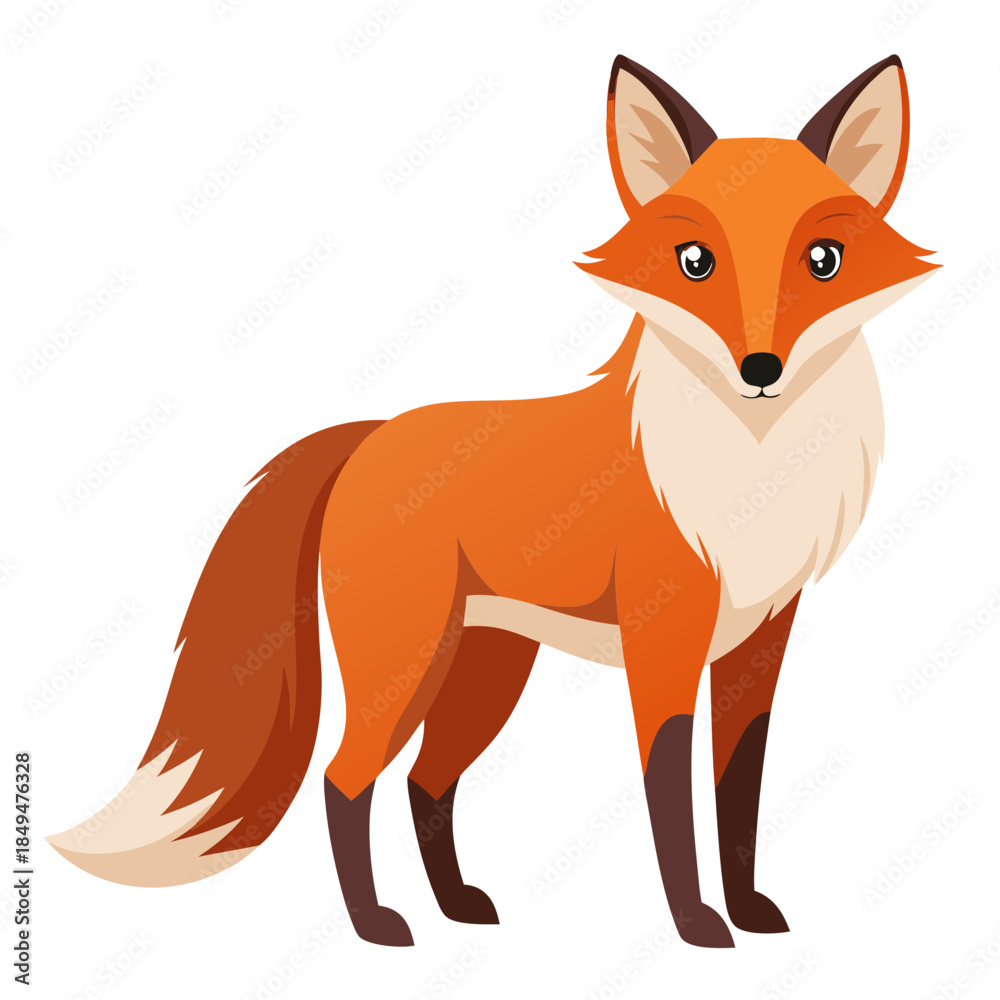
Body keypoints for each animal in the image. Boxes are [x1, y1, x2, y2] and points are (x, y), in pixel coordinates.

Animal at [48, 54, 938, 949]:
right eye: (695, 261)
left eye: (823, 260)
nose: (761, 369)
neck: (752, 478)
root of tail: (371, 435)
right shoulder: (663, 646)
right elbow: (669, 799)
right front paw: (695, 924)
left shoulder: (758, 642)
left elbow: (738, 794)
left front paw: (750, 911)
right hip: (407, 666)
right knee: (344, 778)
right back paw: (376, 924)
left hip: (485, 670)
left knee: (425, 781)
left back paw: (457, 907)